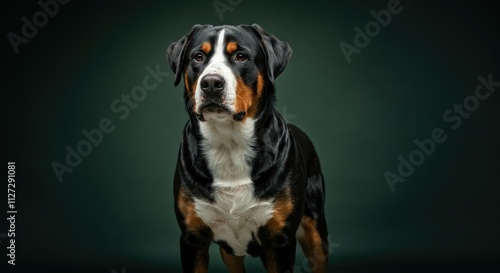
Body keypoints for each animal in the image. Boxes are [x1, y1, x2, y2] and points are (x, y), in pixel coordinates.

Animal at [167, 24, 328, 270]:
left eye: (241, 56)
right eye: (198, 56)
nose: (211, 83)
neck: (229, 144)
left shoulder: (280, 240)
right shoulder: (192, 238)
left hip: (315, 227)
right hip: (230, 252)